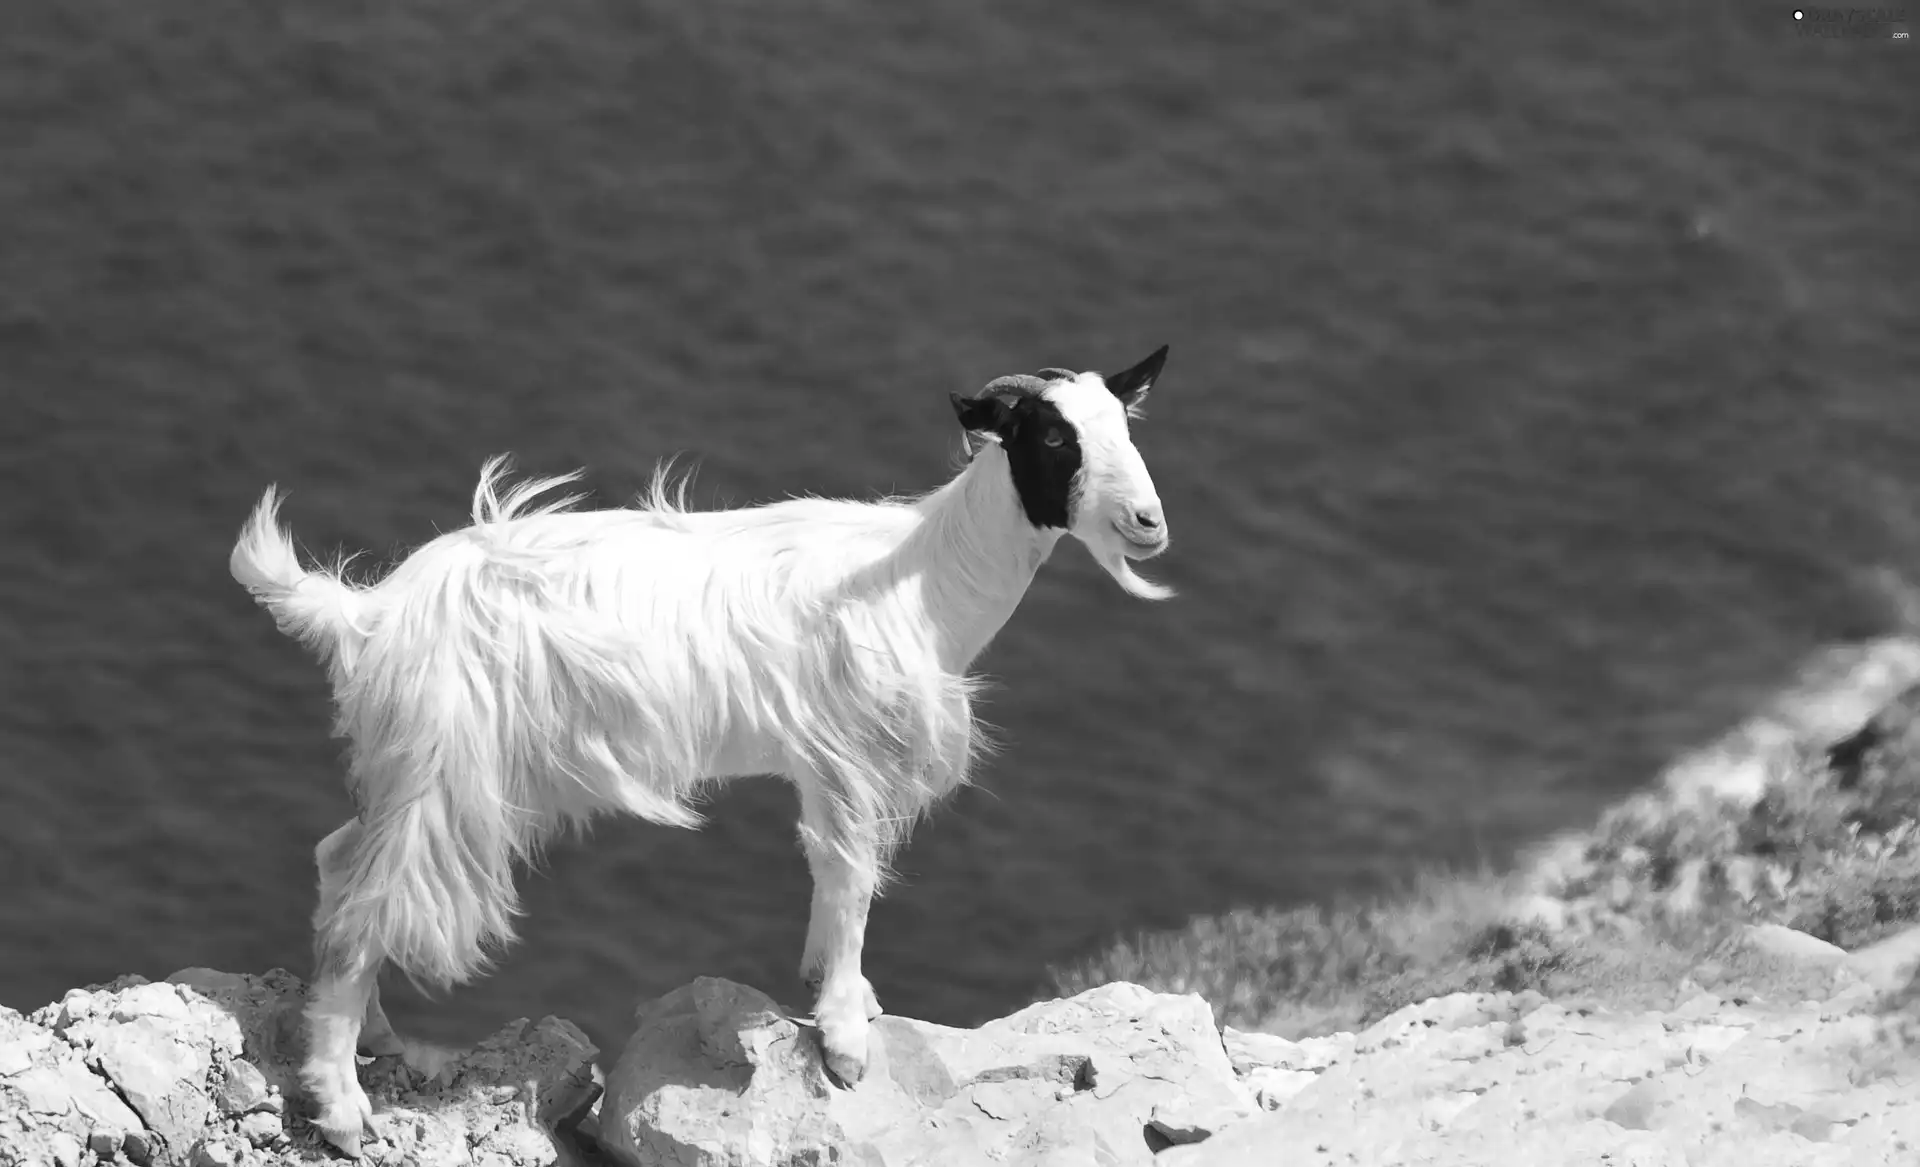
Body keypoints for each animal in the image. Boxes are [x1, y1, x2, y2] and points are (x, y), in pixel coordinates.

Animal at [232, 343, 1175, 1151]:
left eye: (1128, 426)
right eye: (1052, 435)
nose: (1148, 522)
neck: (925, 576)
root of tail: (366, 615)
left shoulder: (827, 764)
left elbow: (835, 880)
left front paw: (846, 997)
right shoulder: (847, 754)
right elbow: (850, 881)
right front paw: (843, 1040)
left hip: (408, 768)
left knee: (340, 861)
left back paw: (374, 1037)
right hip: (441, 770)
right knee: (365, 909)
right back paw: (342, 1108)